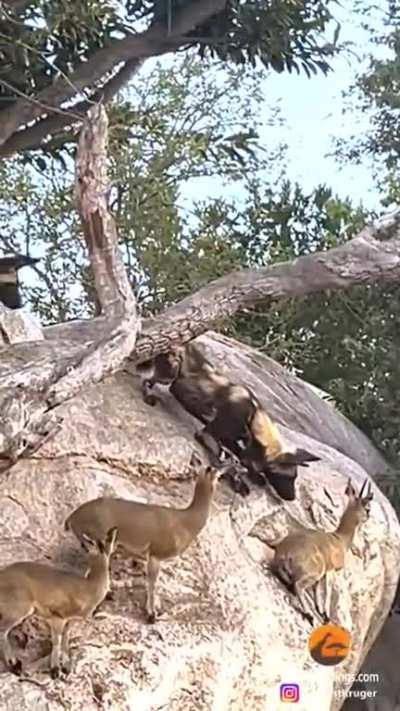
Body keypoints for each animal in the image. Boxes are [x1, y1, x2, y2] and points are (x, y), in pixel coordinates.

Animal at [0, 527, 118, 678]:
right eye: (91, 541)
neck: (88, 588)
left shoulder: (69, 621)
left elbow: (65, 640)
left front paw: (66, 667)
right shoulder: (57, 616)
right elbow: (56, 641)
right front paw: (55, 670)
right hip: (18, 608)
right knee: (2, 631)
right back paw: (14, 665)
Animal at [65, 462, 221, 623]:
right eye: (212, 470)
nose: (221, 471)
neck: (186, 522)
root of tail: (71, 518)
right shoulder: (155, 554)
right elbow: (152, 584)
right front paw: (152, 615)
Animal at [136, 341, 319, 500]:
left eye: (294, 477)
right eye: (288, 477)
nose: (292, 498)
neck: (252, 417)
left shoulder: (234, 441)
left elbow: (241, 459)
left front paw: (253, 475)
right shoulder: (208, 435)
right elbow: (225, 462)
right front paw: (241, 481)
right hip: (169, 374)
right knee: (146, 380)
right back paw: (149, 396)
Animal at [268, 478, 373, 624]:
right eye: (366, 508)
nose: (368, 516)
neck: (340, 539)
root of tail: (284, 553)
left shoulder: (323, 576)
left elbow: (318, 592)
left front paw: (321, 612)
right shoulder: (331, 570)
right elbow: (327, 592)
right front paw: (326, 615)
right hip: (315, 571)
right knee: (298, 585)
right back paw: (308, 614)